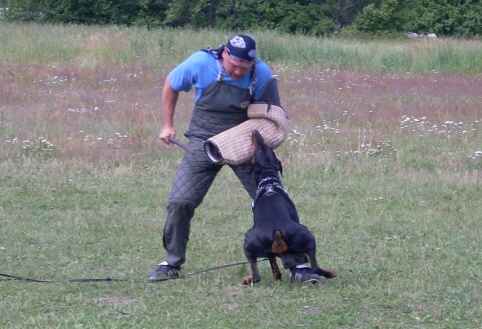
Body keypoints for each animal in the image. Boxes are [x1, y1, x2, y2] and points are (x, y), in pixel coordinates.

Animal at [240, 129, 336, 284]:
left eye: (265, 146)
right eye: (259, 147)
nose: (254, 131)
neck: (268, 180)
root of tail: (276, 232)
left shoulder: (268, 253)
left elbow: (272, 261)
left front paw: (277, 275)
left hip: (248, 245)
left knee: (257, 275)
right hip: (308, 236)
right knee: (314, 266)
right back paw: (329, 273)